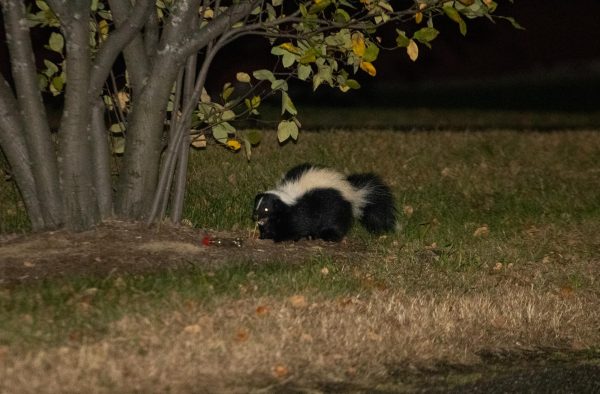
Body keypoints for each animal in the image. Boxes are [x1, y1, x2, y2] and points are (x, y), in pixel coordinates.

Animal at [252, 162, 396, 242]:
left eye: (266, 209)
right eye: (256, 207)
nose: (255, 216)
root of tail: (354, 191)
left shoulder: (300, 210)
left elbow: (297, 226)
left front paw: (281, 238)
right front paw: (264, 235)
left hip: (336, 208)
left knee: (336, 225)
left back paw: (329, 237)